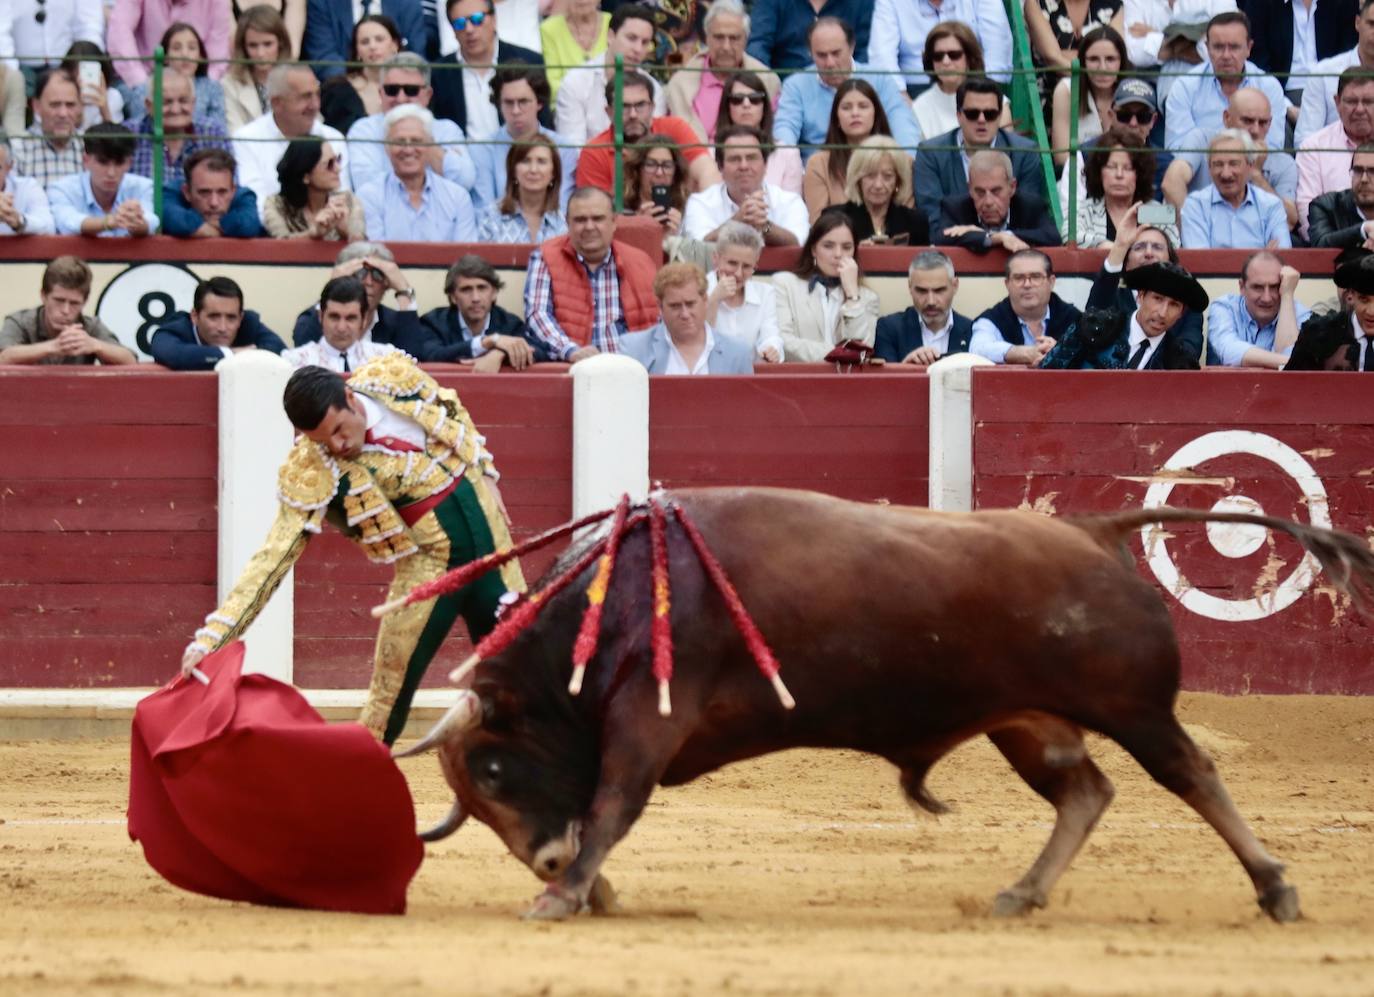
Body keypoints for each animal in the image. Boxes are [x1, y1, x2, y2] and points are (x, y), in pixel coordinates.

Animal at [398, 488, 1374, 922]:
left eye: (494, 766)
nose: (543, 859)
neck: (623, 597)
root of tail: (1094, 531)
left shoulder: (650, 719)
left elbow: (611, 804)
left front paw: (564, 895)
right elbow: (605, 809)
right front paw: (584, 888)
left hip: (1133, 708)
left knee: (1192, 774)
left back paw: (1276, 886)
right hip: (1026, 721)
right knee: (1086, 790)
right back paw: (1020, 892)